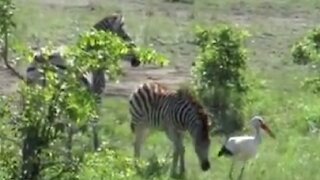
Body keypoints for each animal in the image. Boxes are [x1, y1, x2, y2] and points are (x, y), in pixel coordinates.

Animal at [26, 13, 142, 150]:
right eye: (124, 36)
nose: (138, 61)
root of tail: (44, 58)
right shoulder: (96, 94)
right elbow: (93, 121)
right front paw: (96, 148)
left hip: (36, 94)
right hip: (62, 94)